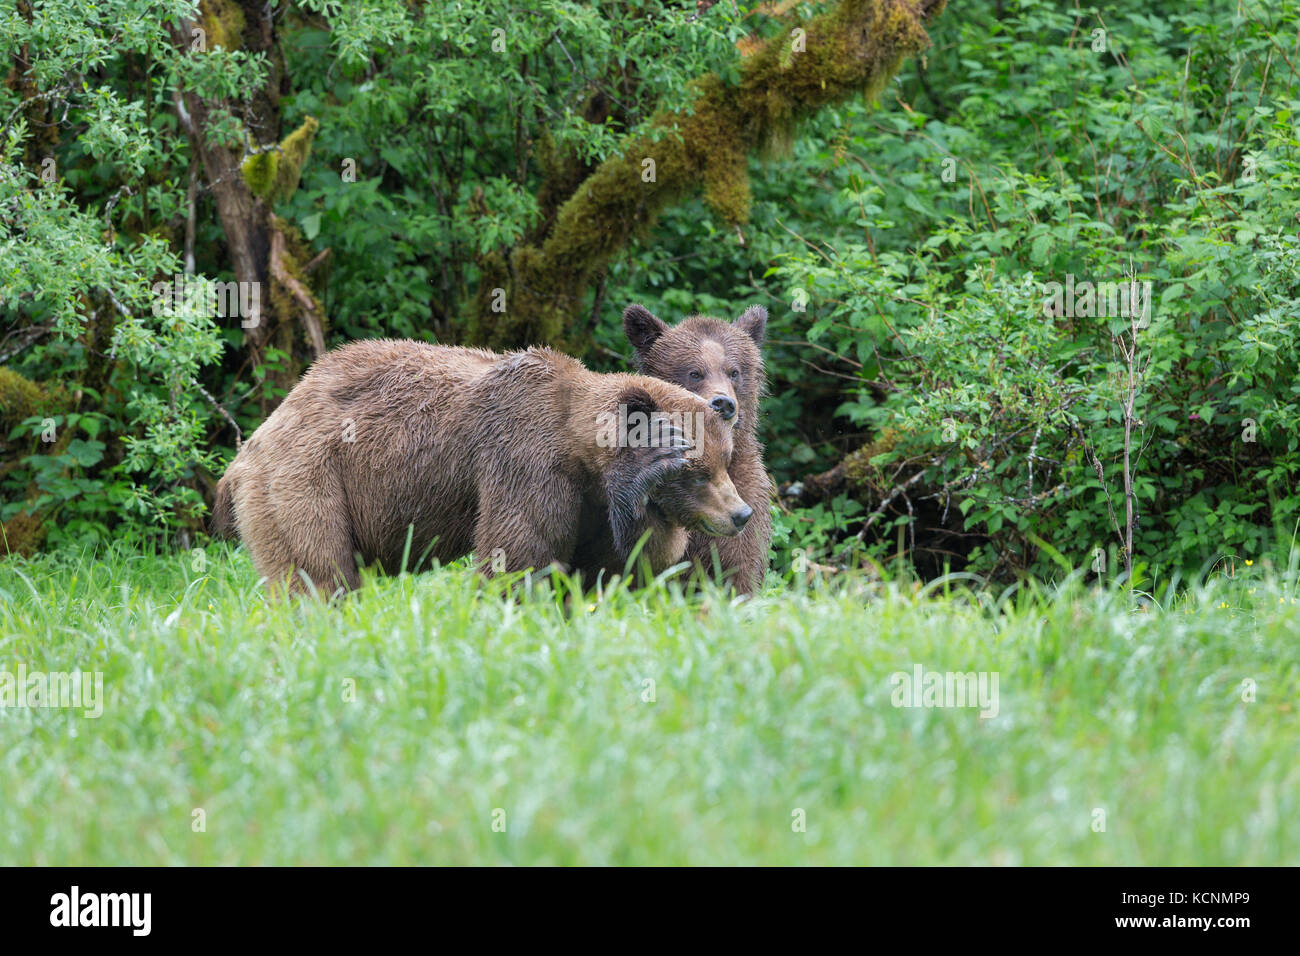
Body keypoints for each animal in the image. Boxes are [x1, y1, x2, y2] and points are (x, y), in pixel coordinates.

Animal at [213, 338, 754, 598]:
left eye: (724, 462)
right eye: (696, 471)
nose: (741, 514)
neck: (582, 458)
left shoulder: (595, 507)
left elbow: (624, 564)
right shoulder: (527, 461)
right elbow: (519, 555)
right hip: (306, 476)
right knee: (317, 571)